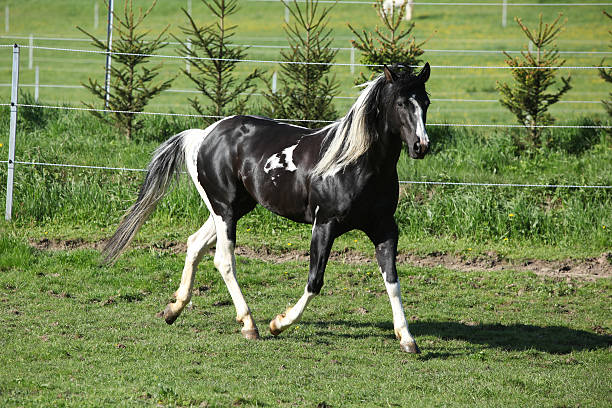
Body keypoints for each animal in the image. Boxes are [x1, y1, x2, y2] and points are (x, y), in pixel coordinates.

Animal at [101, 63, 430, 354]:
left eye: (425, 102)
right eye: (401, 103)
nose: (421, 146)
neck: (354, 163)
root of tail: (204, 135)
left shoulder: (384, 228)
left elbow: (392, 281)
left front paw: (407, 339)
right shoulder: (325, 225)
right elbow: (315, 281)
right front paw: (278, 323)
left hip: (231, 209)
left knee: (194, 243)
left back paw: (174, 309)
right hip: (225, 210)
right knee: (223, 259)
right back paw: (249, 325)